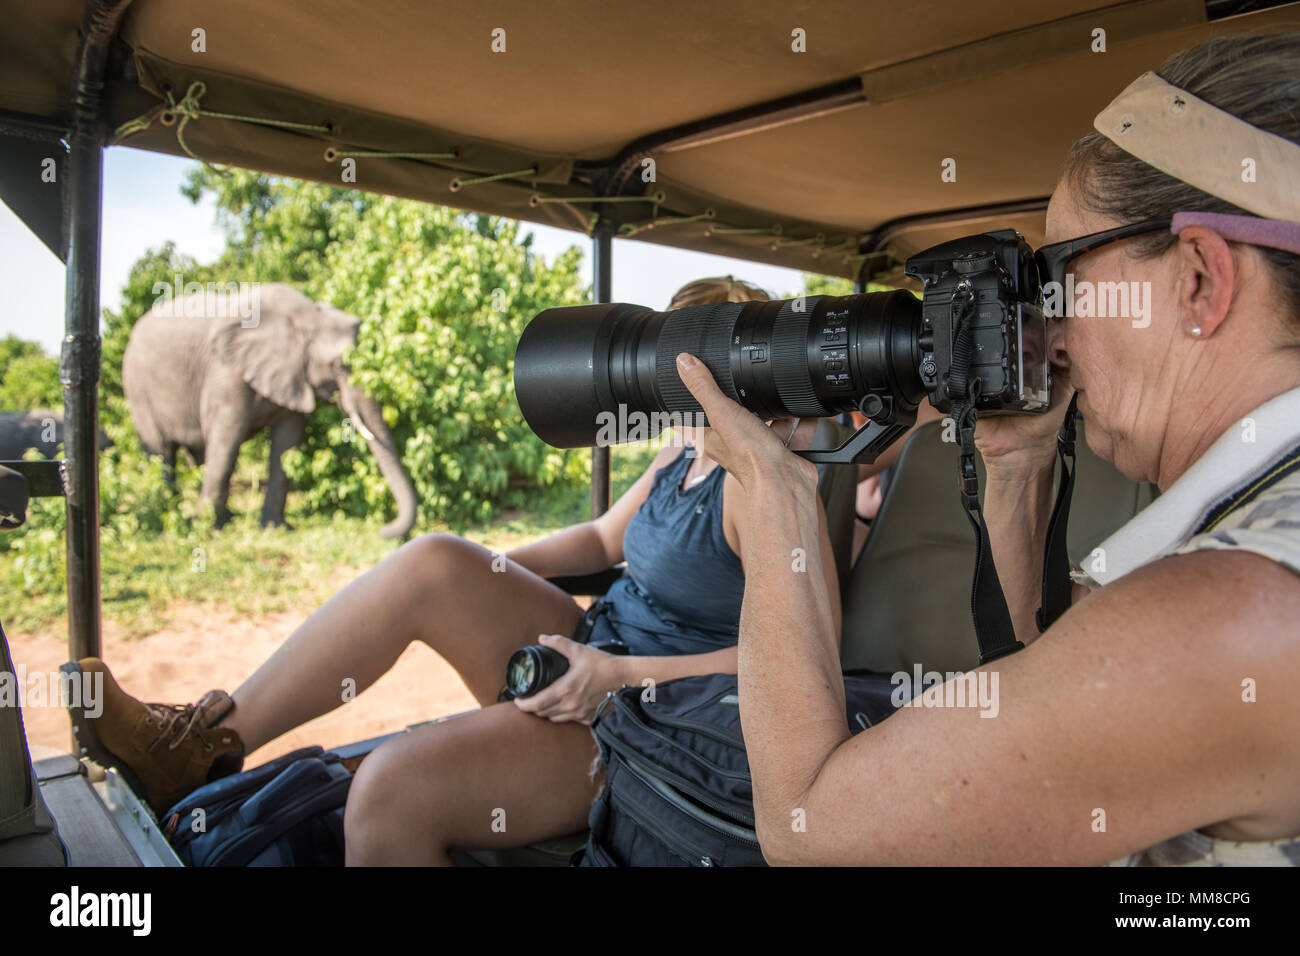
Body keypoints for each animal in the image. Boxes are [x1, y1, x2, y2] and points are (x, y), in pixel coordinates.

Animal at [120, 282, 416, 538]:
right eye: (339, 365)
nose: (382, 530)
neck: (303, 318)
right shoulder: (226, 371)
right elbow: (227, 442)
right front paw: (207, 530)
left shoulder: (294, 375)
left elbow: (287, 443)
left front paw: (276, 528)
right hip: (136, 388)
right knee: (162, 453)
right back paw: (173, 513)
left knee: (197, 452)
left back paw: (223, 516)